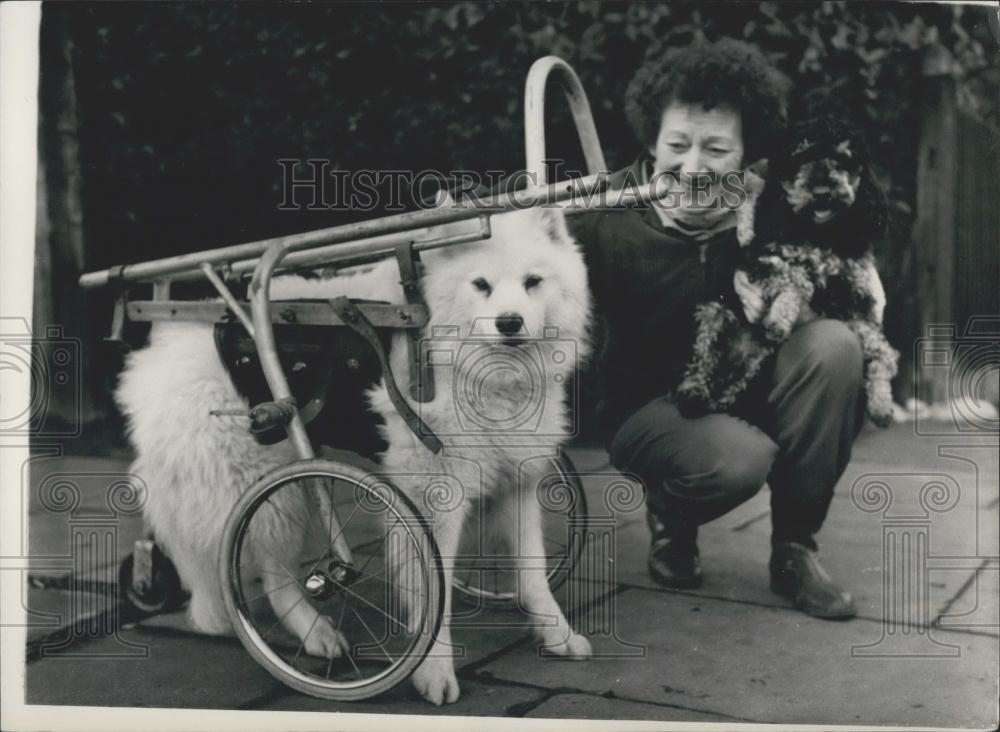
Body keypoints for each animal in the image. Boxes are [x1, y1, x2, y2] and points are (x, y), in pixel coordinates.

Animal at [115, 206, 592, 704]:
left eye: (533, 281)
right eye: (481, 284)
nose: (509, 322)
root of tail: (157, 353)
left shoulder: (517, 479)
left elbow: (533, 573)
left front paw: (557, 635)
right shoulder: (430, 495)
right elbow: (430, 592)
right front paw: (433, 670)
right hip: (273, 488)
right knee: (275, 575)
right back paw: (318, 634)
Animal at [680, 116, 900, 426]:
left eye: (843, 159)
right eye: (801, 157)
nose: (822, 193)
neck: (821, 235)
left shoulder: (853, 299)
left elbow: (881, 349)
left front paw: (881, 401)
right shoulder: (759, 258)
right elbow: (796, 278)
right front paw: (780, 319)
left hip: (754, 357)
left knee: (730, 384)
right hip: (713, 314)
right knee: (702, 356)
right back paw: (693, 392)